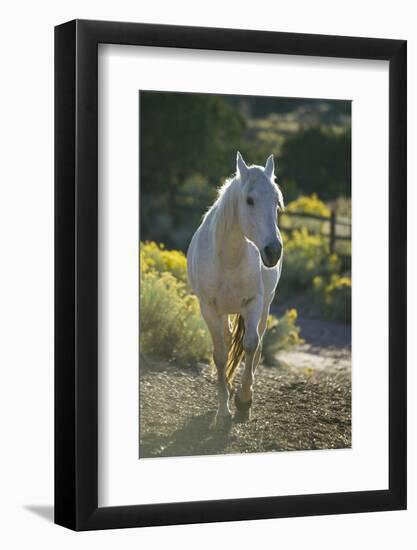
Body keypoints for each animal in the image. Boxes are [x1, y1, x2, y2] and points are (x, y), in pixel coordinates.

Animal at [188, 152, 282, 432]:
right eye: (249, 200)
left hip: (265, 306)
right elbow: (220, 355)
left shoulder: (253, 303)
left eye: (277, 201)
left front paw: (243, 402)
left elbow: (250, 345)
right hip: (224, 312)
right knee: (229, 341)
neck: (228, 259)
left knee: (257, 346)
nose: (273, 251)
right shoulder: (209, 309)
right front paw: (223, 411)